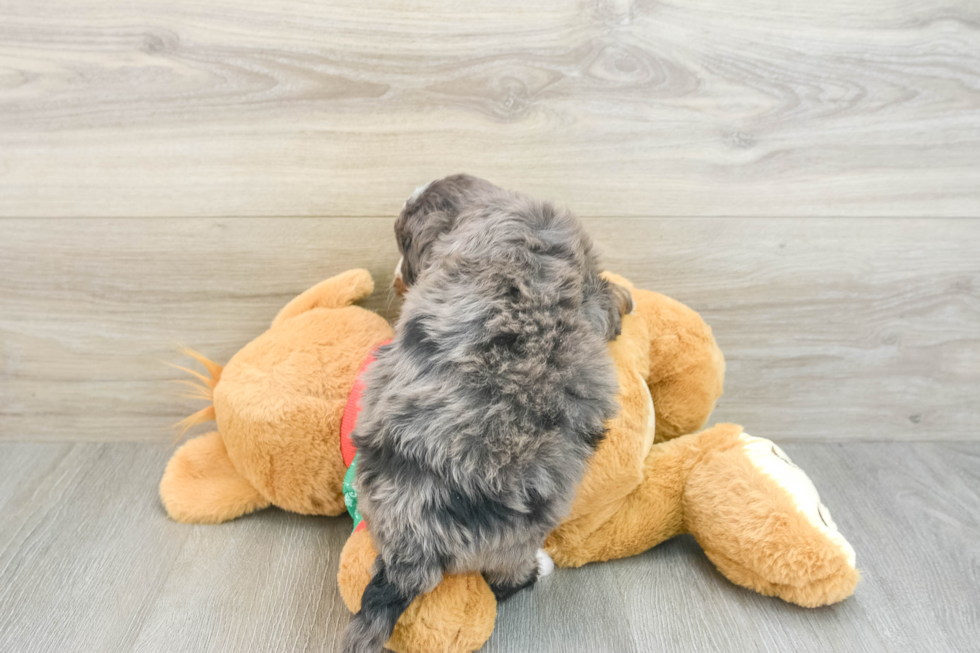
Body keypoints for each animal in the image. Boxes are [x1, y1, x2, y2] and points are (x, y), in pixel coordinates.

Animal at [344, 174, 632, 652]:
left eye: (404, 245)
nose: (399, 278)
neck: (479, 208)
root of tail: (410, 552)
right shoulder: (588, 280)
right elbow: (609, 297)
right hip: (516, 539)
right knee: (506, 581)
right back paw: (540, 567)